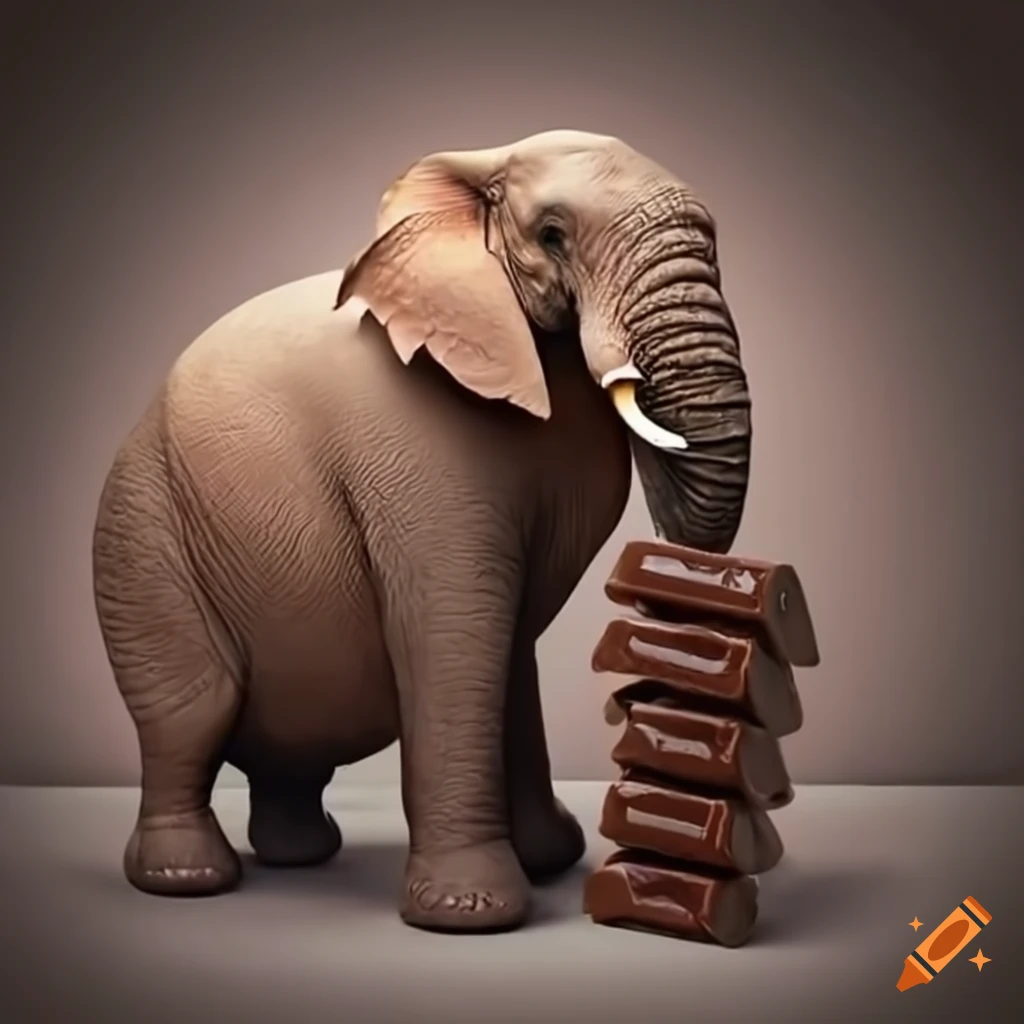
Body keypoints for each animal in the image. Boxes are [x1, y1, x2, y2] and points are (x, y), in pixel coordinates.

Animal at [91, 129, 752, 933]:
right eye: (552, 235)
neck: (475, 170)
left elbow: (507, 647)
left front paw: (549, 861)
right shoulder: (414, 442)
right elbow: (457, 631)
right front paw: (473, 914)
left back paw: (299, 854)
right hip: (142, 527)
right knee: (193, 709)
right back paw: (187, 877)